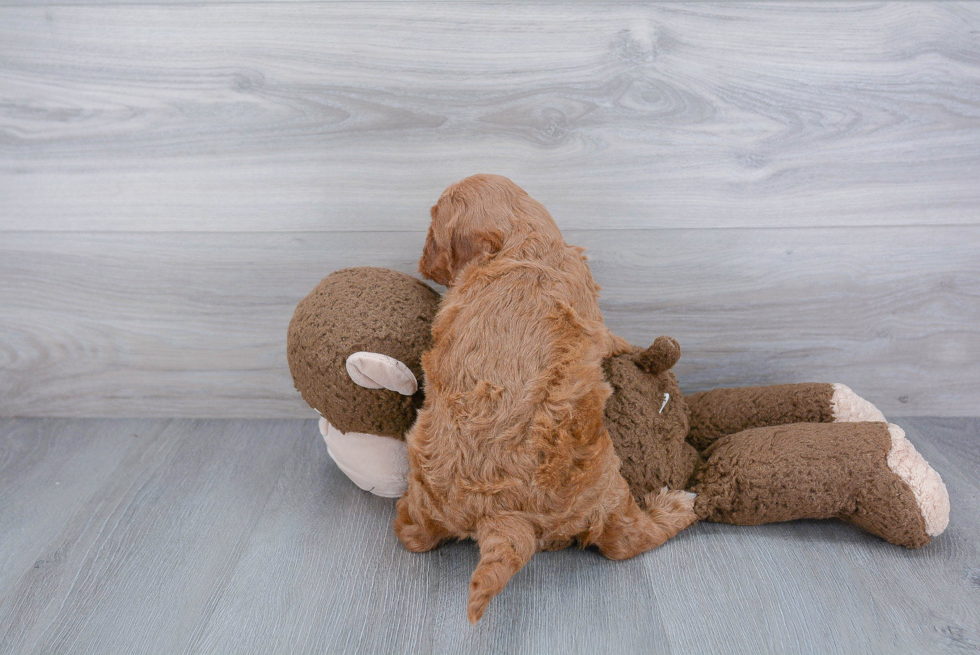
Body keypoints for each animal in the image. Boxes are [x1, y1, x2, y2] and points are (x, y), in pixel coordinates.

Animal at [392, 172, 696, 624]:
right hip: (606, 484)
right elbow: (614, 340)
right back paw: (675, 506)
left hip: (424, 489)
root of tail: (500, 516)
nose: (423, 266)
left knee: (413, 535)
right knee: (625, 541)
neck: (519, 241)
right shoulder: (595, 317)